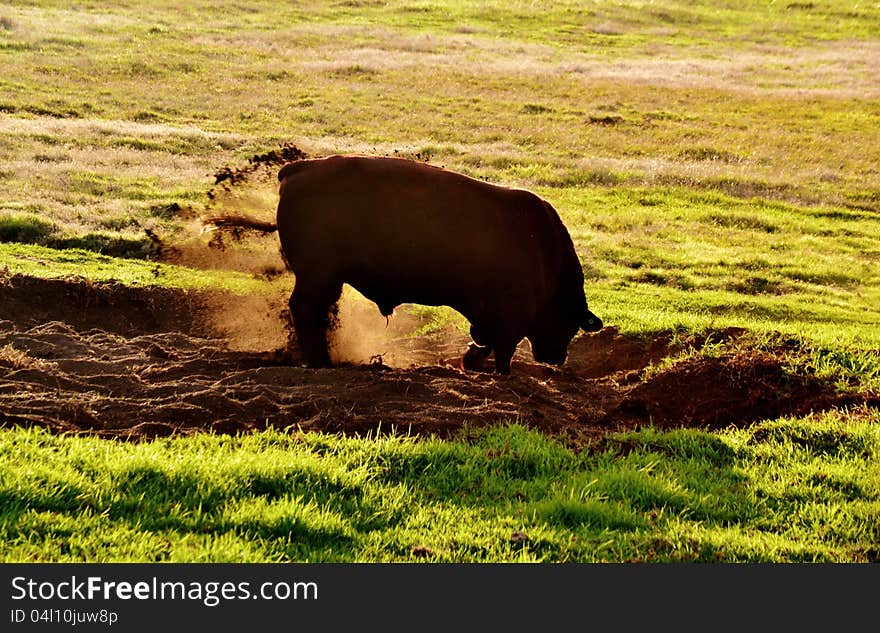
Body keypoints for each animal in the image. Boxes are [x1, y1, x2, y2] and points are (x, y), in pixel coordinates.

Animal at [214, 156, 600, 372]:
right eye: (569, 322)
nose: (557, 358)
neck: (548, 257)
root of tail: (299, 169)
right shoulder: (510, 318)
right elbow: (502, 350)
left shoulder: (487, 317)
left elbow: (483, 341)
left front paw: (469, 361)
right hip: (318, 278)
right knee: (306, 310)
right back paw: (321, 361)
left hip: (326, 280)